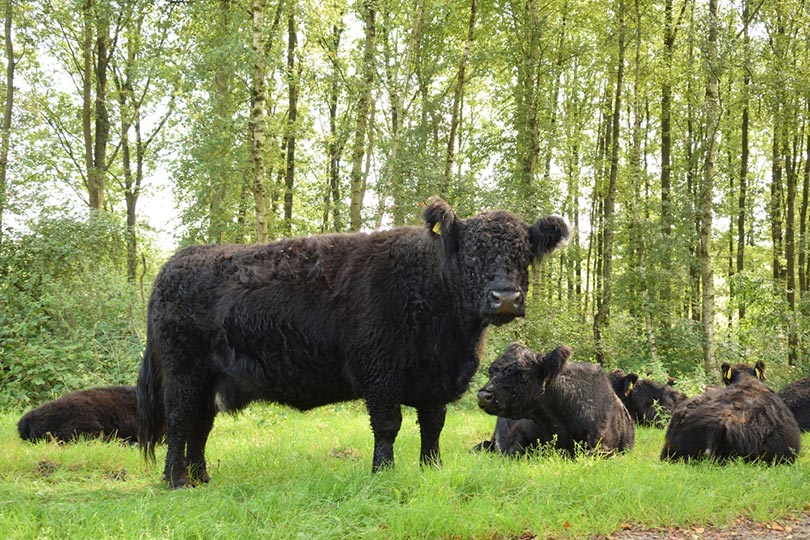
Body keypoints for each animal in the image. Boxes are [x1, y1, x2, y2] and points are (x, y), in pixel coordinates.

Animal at [137, 198, 568, 490]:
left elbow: (433, 426)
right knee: (179, 421)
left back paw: (201, 477)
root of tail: (174, 264)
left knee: (200, 426)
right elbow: (388, 425)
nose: (505, 298)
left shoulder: (434, 381)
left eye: (524, 254)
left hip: (209, 379)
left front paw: (432, 468)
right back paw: (176, 480)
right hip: (183, 372)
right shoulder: (379, 371)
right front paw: (384, 472)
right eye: (472, 254)